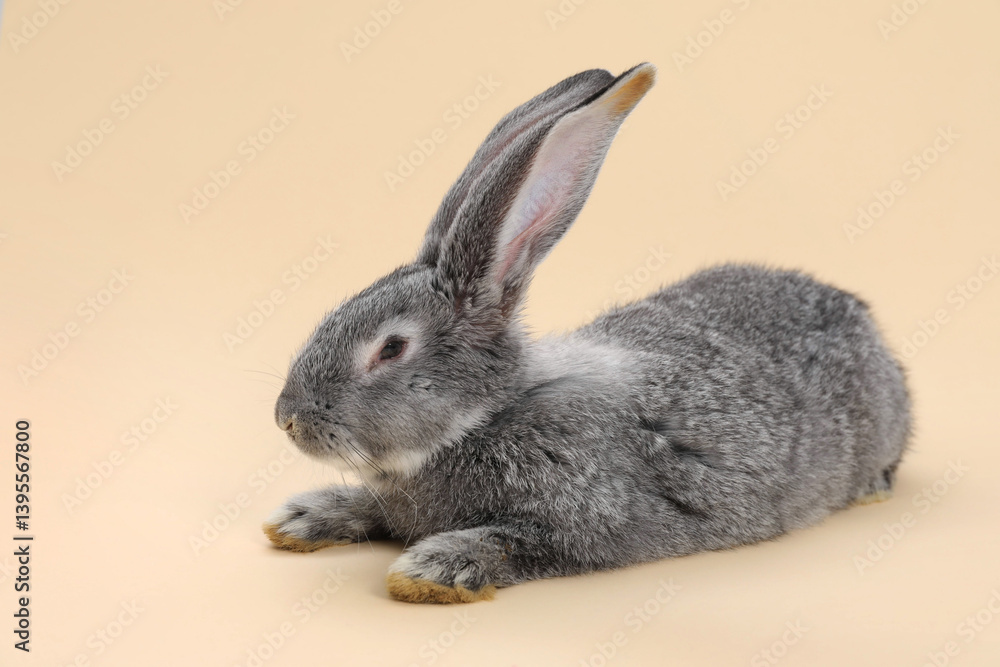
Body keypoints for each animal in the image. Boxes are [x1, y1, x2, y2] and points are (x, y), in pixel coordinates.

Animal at [263, 63, 911, 604]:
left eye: (392, 348)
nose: (286, 418)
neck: (488, 414)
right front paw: (302, 519)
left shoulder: (587, 521)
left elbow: (515, 541)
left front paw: (432, 569)